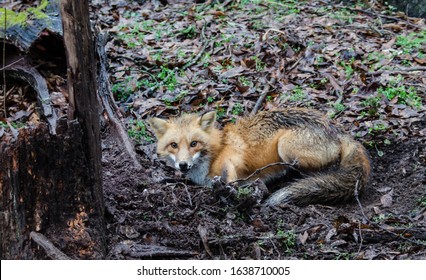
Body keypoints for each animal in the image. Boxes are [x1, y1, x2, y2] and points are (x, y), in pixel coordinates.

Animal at [148, 109, 372, 206]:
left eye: (194, 143)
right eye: (173, 145)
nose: (183, 165)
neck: (216, 150)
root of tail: (336, 128)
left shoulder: (233, 159)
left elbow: (230, 177)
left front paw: (232, 193)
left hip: (286, 147)